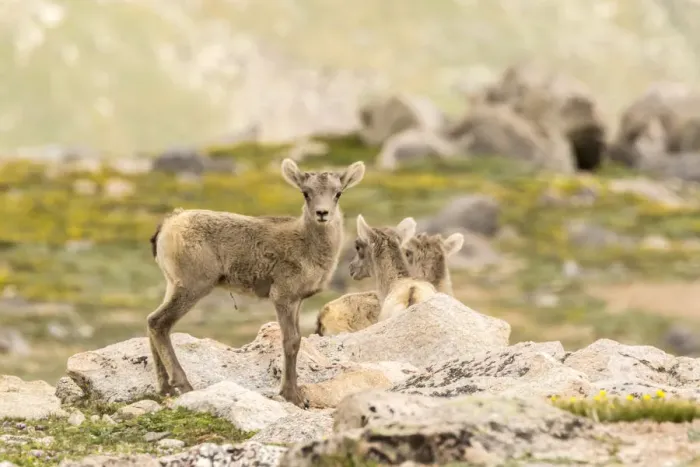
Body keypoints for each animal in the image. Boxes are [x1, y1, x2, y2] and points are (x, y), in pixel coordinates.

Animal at [147, 158, 365, 408]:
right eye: (305, 192)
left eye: (338, 193)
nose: (322, 213)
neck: (306, 245)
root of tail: (165, 227)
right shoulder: (282, 296)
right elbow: (291, 341)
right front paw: (292, 396)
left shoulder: (297, 300)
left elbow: (297, 340)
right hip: (192, 286)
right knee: (159, 323)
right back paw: (183, 385)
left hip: (173, 284)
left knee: (152, 321)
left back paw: (165, 389)